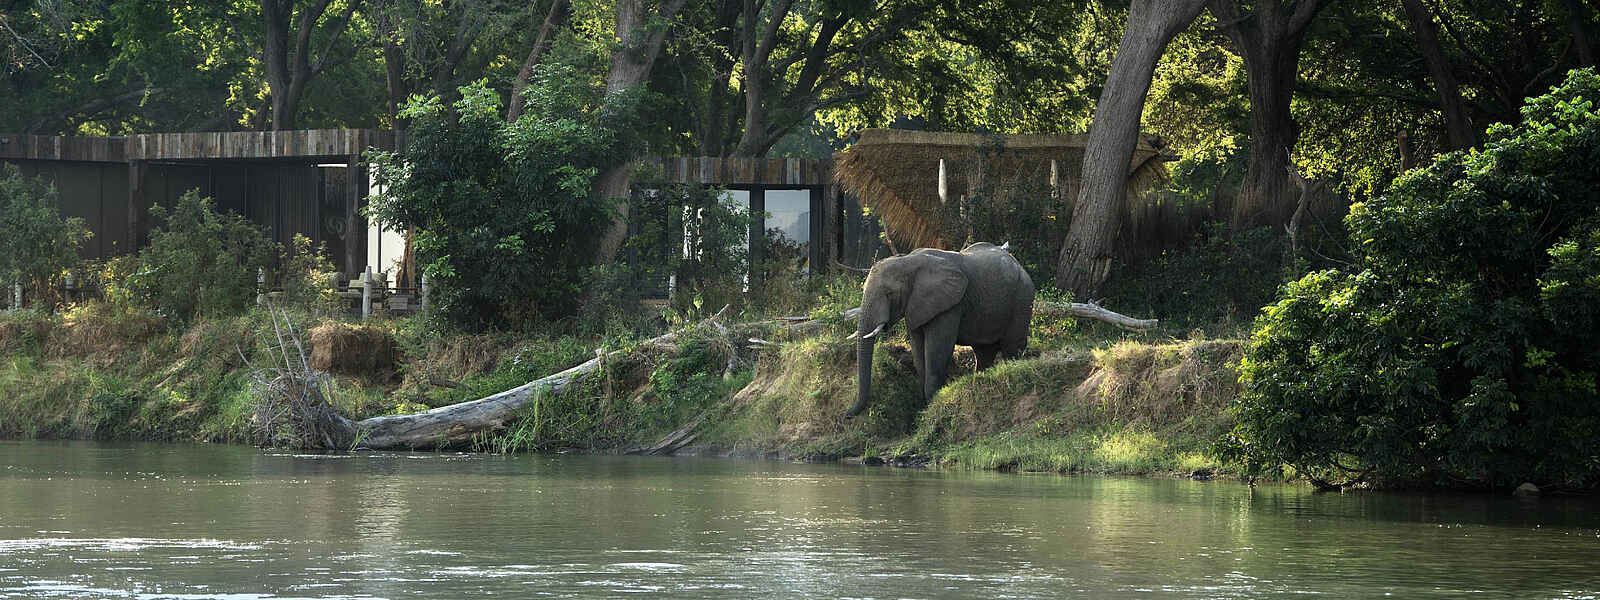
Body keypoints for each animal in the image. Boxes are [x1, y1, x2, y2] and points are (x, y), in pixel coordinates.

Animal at [847, 242, 1035, 418]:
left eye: (890, 294)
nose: (847, 414)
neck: (908, 261)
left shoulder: (950, 305)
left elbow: (937, 351)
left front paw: (933, 404)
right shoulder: (915, 304)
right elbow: (918, 353)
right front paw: (927, 405)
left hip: (1022, 297)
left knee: (1011, 347)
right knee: (984, 352)